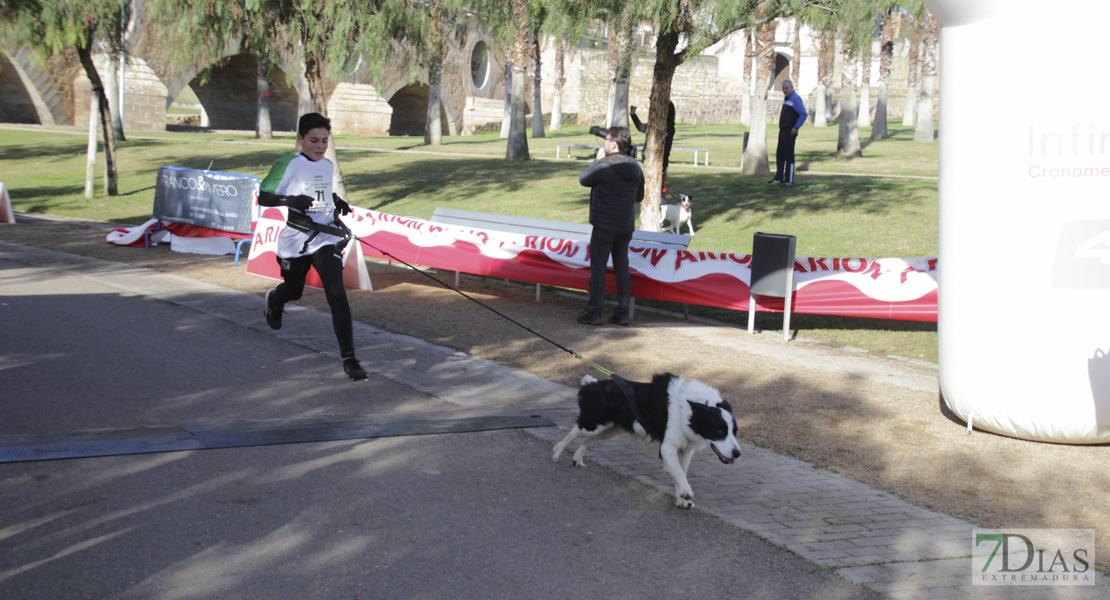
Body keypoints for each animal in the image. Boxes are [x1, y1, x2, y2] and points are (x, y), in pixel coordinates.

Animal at [552, 372, 741, 507]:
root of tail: (592, 384)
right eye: (719, 430)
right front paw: (686, 493)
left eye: (735, 432)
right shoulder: (667, 446)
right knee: (574, 432)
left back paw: (577, 458)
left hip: (610, 429)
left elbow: (680, 471)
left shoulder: (685, 449)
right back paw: (557, 452)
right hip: (595, 423)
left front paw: (681, 498)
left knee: (587, 440)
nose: (737, 453)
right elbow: (678, 471)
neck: (691, 409)